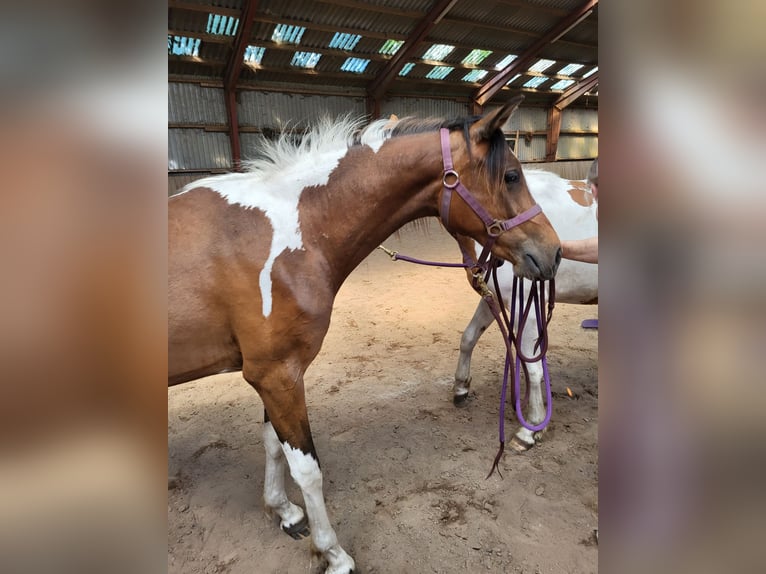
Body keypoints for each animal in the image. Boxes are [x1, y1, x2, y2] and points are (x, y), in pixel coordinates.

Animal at [168, 96, 561, 574]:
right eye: (511, 176)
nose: (553, 253)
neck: (292, 232)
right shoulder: (277, 375)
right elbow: (307, 468)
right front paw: (332, 553)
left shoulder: (273, 375)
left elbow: (273, 445)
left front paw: (282, 511)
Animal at [452, 169, 598, 451]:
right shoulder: (495, 296)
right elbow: (469, 337)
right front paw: (461, 387)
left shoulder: (525, 309)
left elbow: (532, 368)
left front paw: (531, 429)